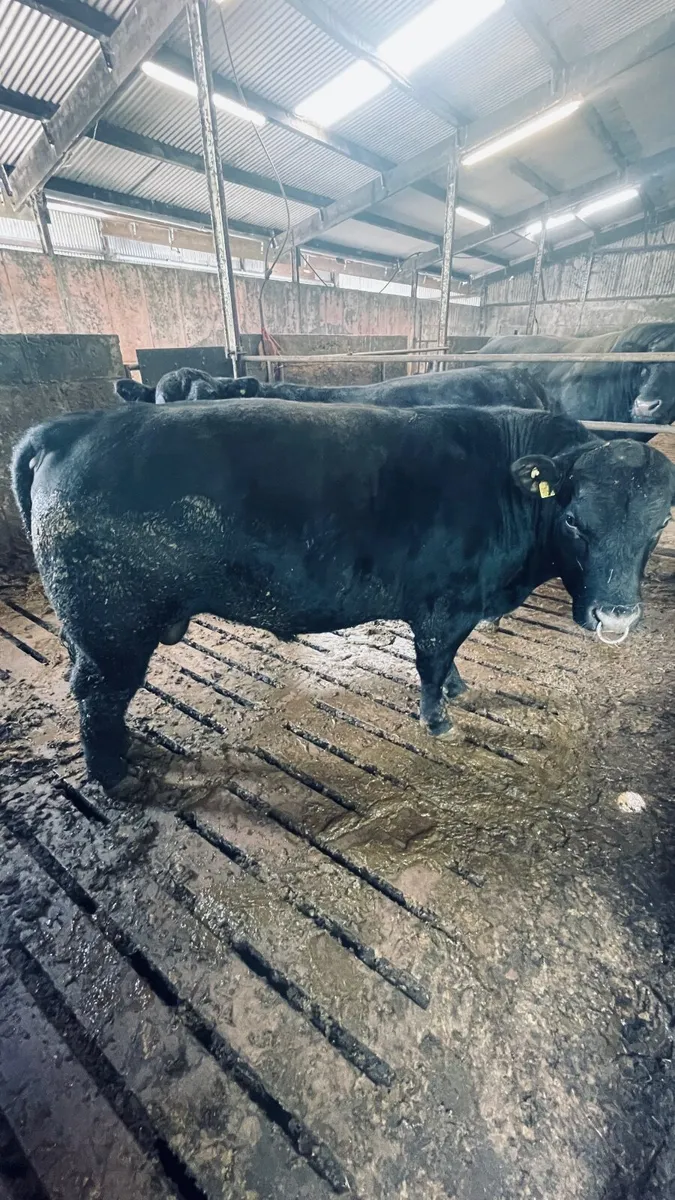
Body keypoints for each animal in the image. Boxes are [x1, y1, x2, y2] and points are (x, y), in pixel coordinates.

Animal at [12, 401, 673, 789]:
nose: (616, 616)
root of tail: (72, 426)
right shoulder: (441, 608)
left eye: (660, 523)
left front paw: (459, 689)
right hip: (112, 627)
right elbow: (432, 663)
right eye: (574, 521)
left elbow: (450, 663)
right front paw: (438, 720)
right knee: (98, 697)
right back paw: (113, 777)